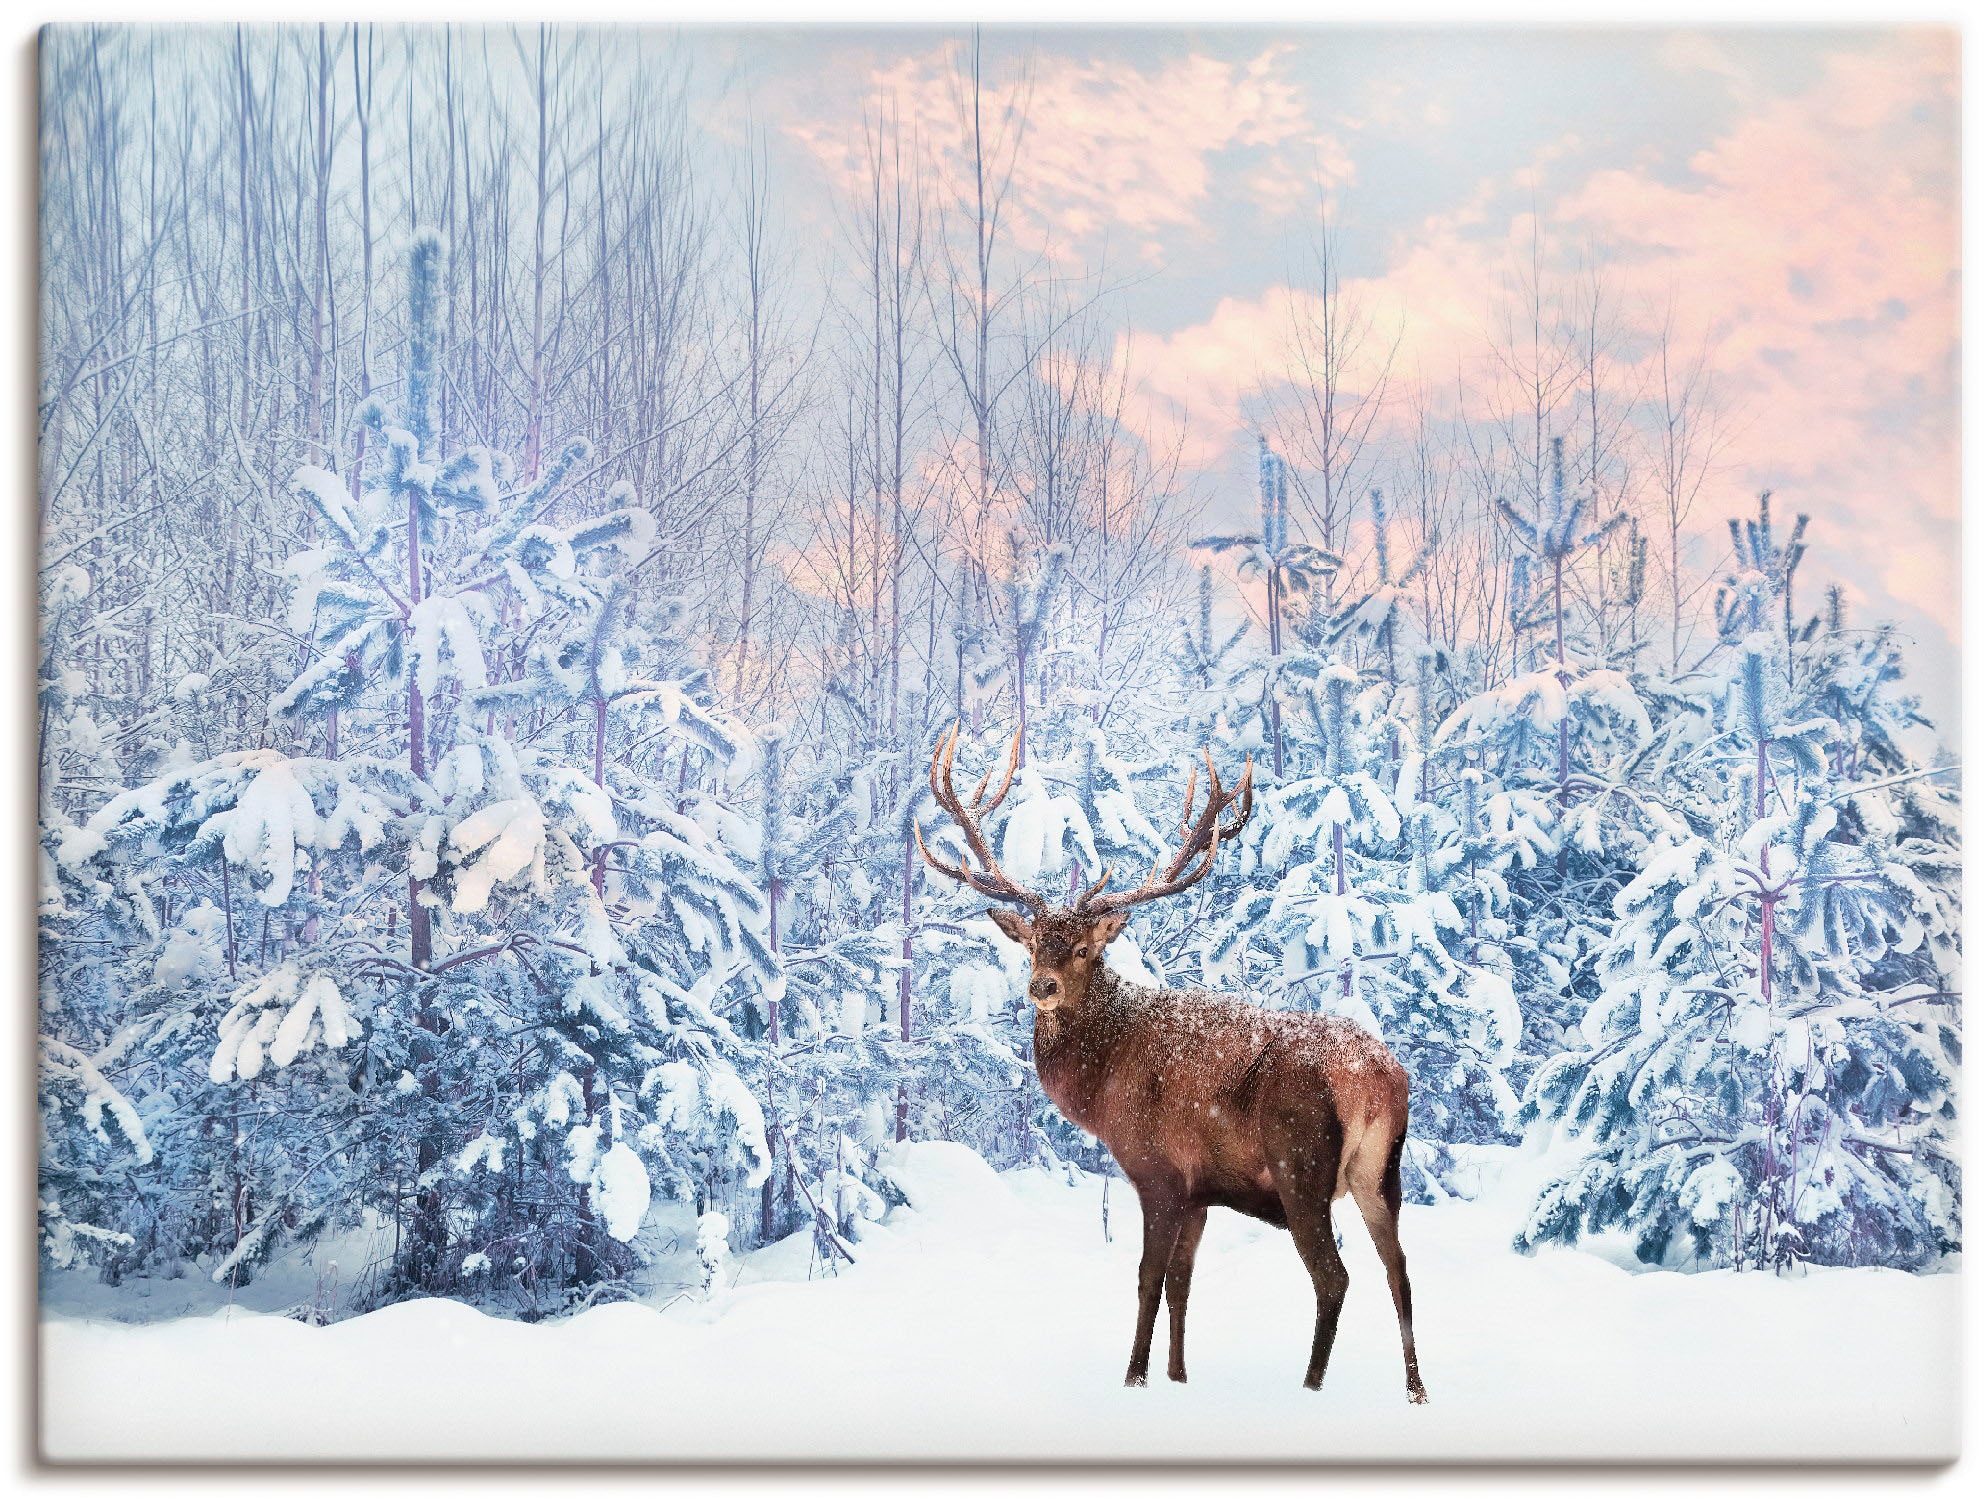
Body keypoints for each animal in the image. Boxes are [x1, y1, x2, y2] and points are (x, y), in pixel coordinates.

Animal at [914, 726, 1427, 1403]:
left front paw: (1134, 1378)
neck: (1100, 1091)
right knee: (1401, 1269)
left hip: (1300, 1166)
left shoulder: (1157, 1172)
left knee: (1334, 1276)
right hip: (1380, 1174)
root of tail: (1379, 1079)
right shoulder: (1200, 1191)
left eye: (1084, 948)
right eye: (1032, 944)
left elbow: (1147, 1279)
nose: (1042, 986)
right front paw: (1179, 1377)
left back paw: (1310, 1386)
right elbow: (1182, 1284)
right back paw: (1416, 1388)